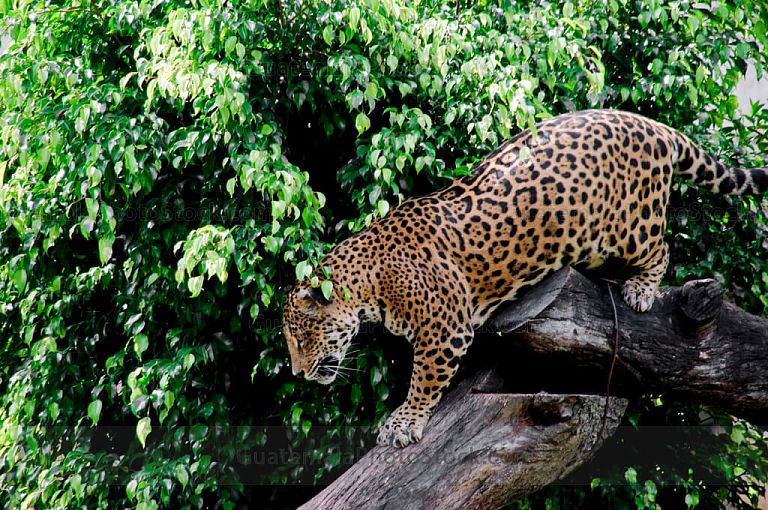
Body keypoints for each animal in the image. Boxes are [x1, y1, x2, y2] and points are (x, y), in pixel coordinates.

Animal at [282, 109, 768, 447]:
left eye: (302, 338)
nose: (299, 373)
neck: (371, 284)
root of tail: (652, 125)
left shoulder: (444, 331)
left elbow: (423, 380)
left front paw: (403, 424)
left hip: (632, 225)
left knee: (660, 248)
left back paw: (641, 290)